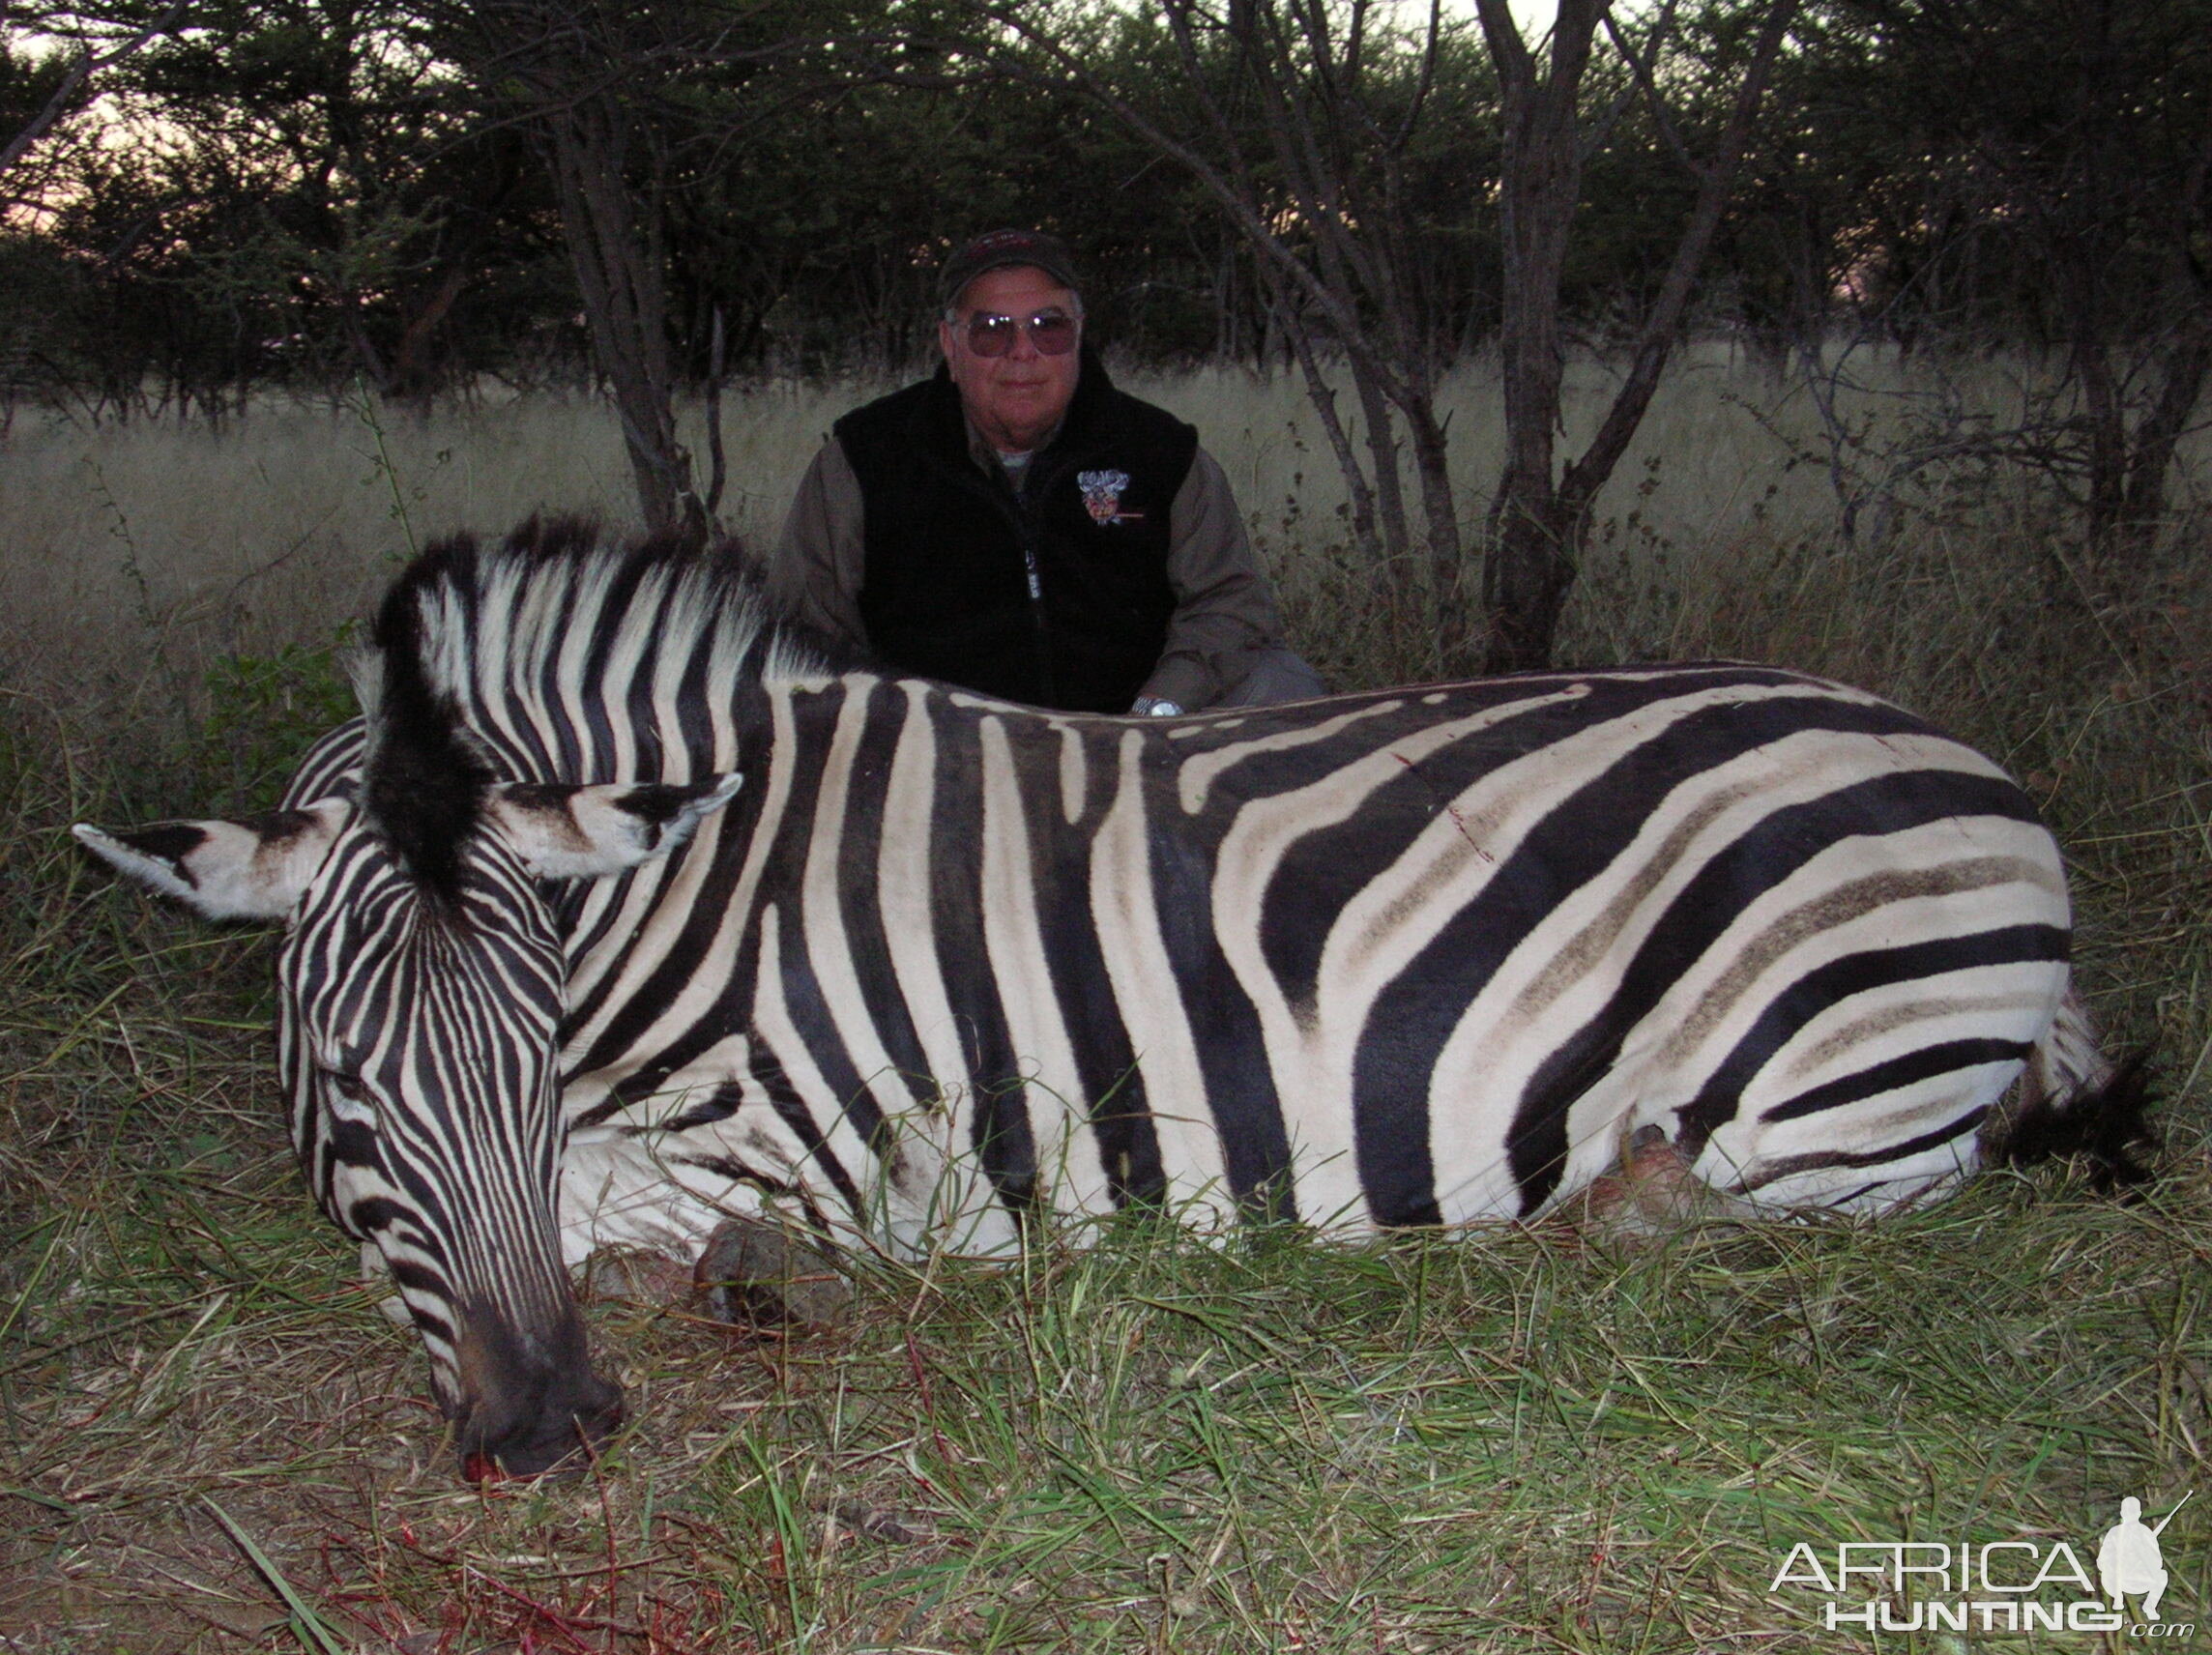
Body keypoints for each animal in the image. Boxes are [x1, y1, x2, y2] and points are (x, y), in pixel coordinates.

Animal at [69, 517, 2140, 1477]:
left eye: (533, 1044)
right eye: (346, 1087)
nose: (549, 1429)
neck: (698, 887)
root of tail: (1977, 768)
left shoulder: (821, 1140)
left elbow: (622, 1223)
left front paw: (759, 1285)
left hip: (1825, 1106)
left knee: (1722, 1218)